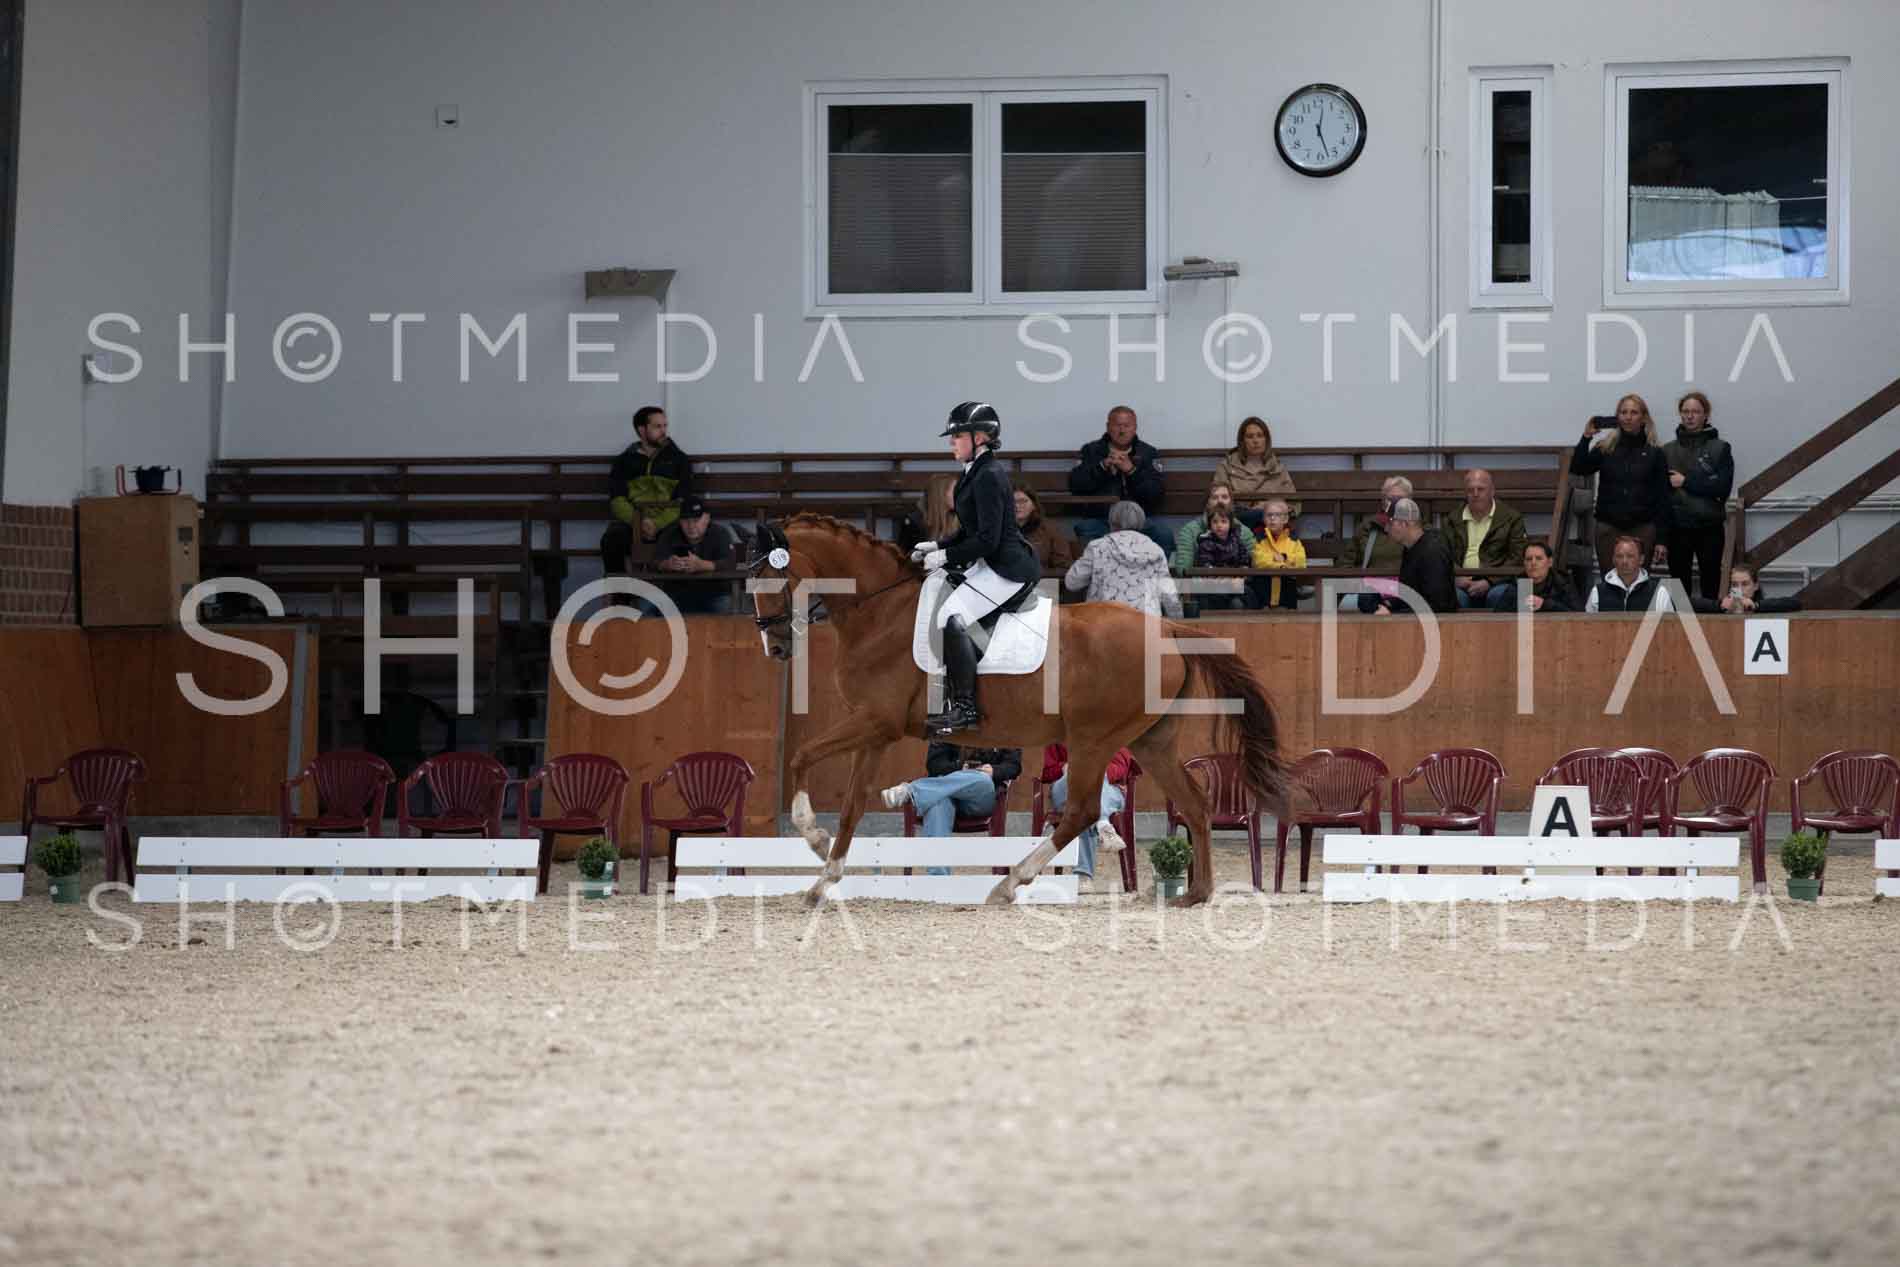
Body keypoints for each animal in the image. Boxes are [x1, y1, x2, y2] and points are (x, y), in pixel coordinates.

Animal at [749, 514, 1286, 907]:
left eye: (772, 577)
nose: (776, 648)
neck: (879, 613)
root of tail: (1167, 632)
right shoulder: (876, 731)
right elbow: (853, 804)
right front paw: (824, 876)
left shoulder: (873, 721)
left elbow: (800, 757)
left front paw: (812, 838)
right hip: (1150, 741)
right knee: (1194, 802)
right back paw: (1196, 895)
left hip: (1093, 739)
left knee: (1081, 811)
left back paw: (1009, 884)